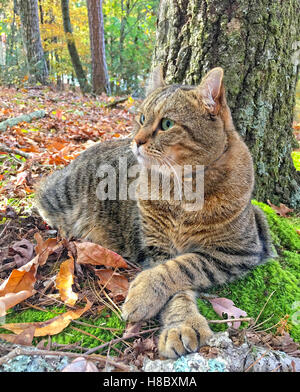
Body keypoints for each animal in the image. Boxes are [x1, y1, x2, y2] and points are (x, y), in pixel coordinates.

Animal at [34, 67, 272, 358]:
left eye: (167, 124)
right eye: (142, 118)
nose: (136, 141)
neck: (182, 192)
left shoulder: (238, 251)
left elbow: (184, 267)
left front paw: (157, 301)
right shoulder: (158, 247)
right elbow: (175, 280)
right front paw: (180, 321)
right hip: (59, 193)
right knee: (40, 194)